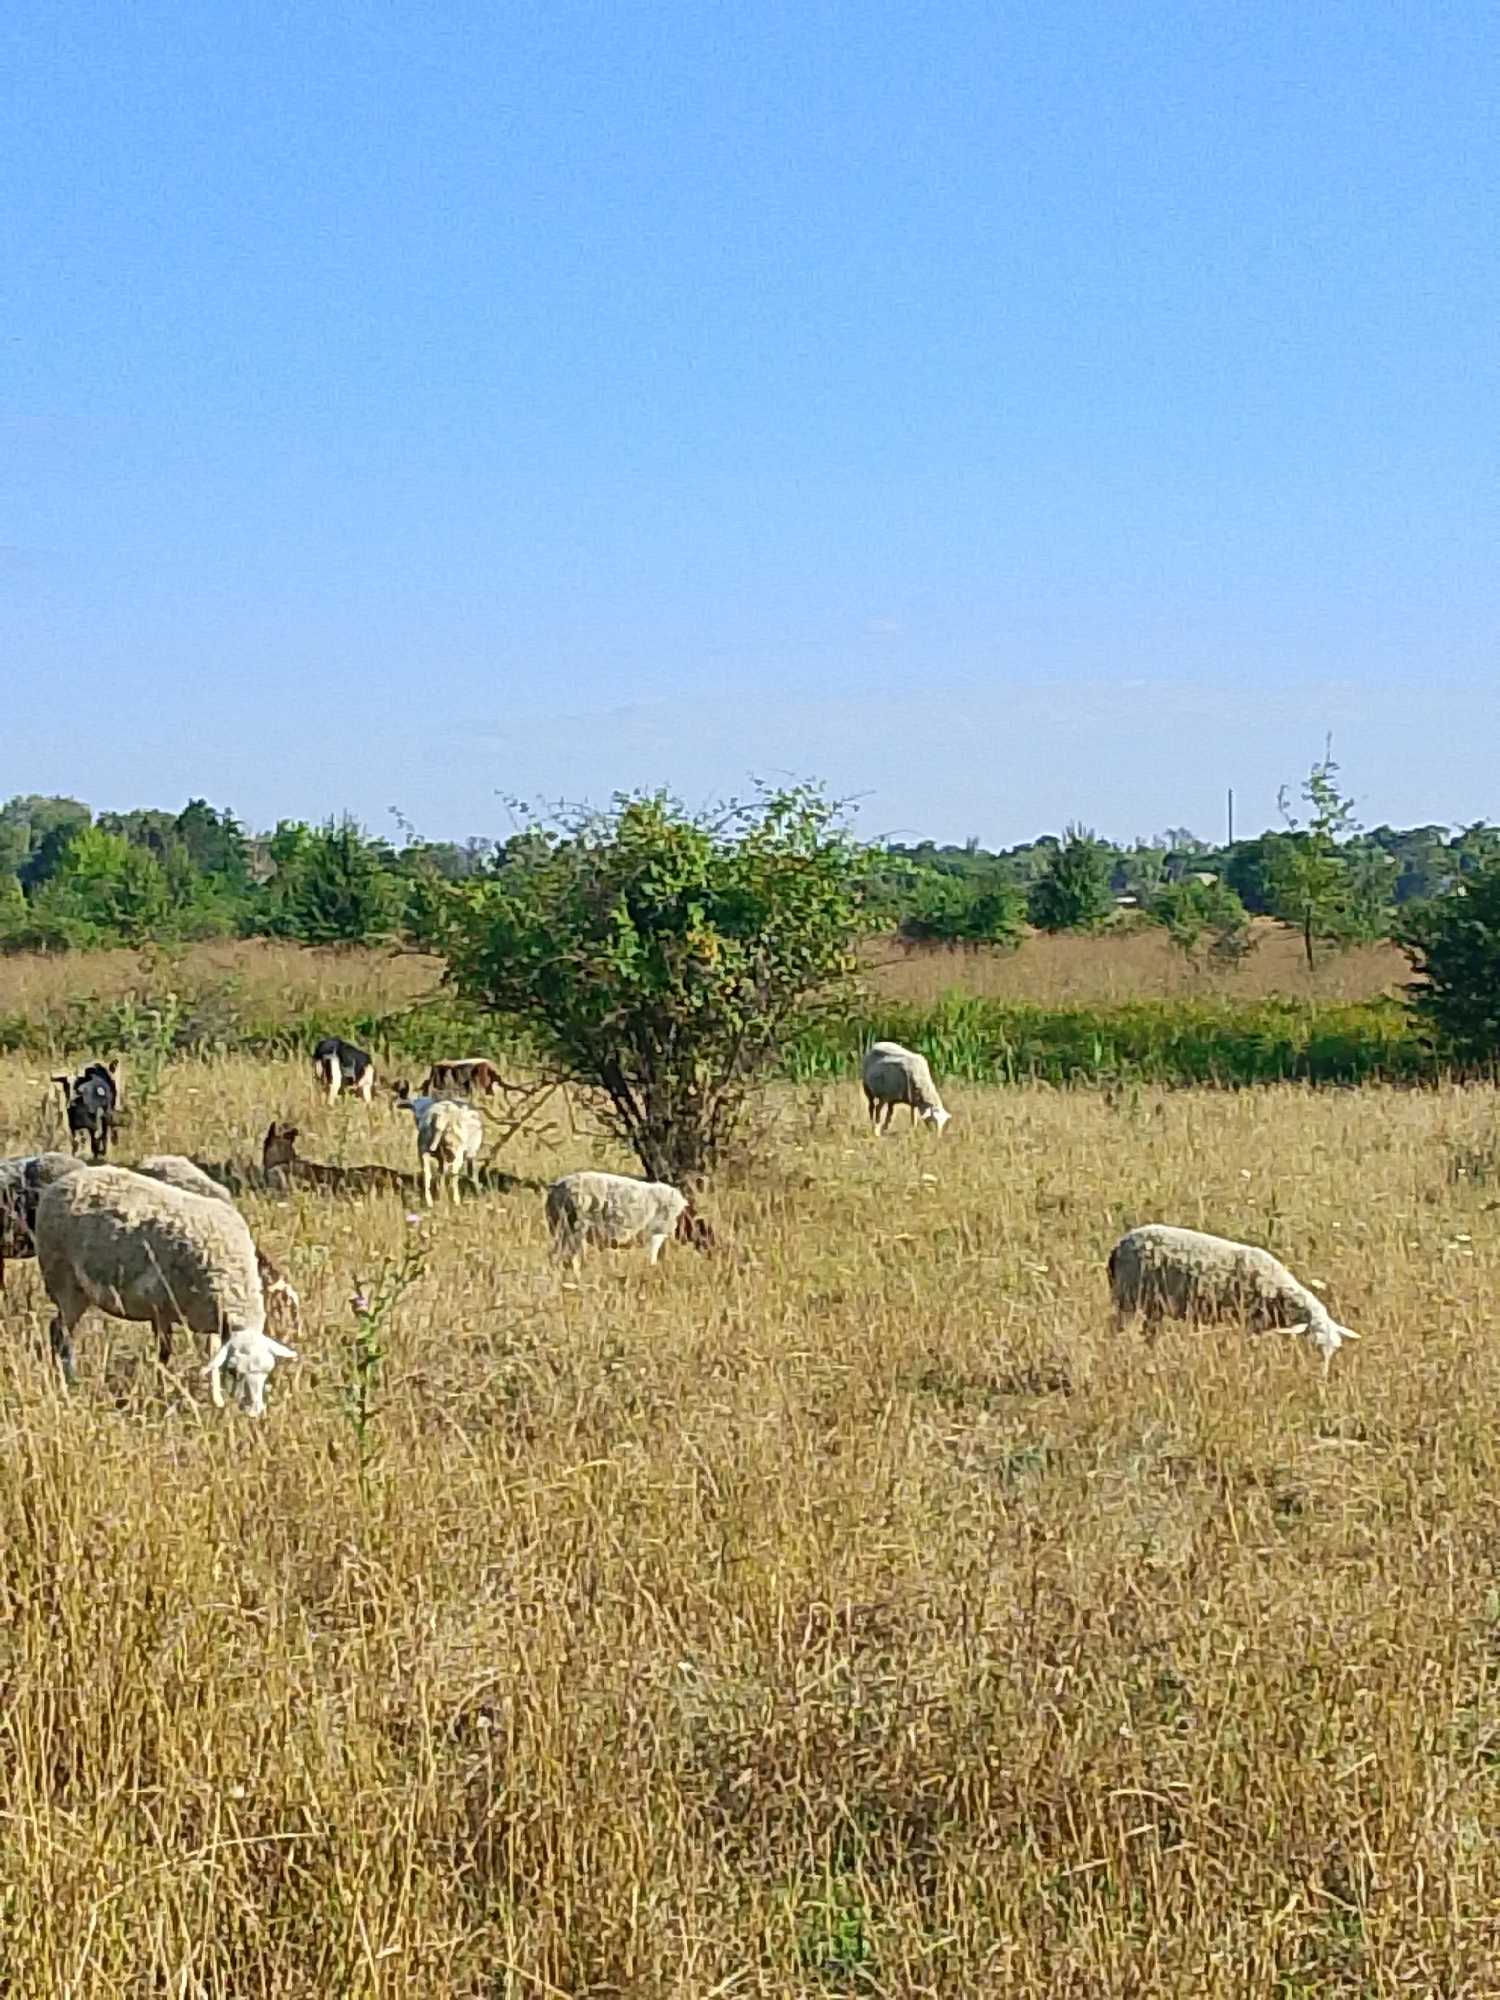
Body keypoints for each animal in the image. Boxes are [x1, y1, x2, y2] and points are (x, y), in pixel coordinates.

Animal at [33, 1166, 296, 1412]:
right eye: (233, 1371)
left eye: (268, 1371)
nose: (254, 1412)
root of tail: (64, 1181)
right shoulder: (161, 1310)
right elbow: (164, 1356)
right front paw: (162, 1395)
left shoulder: (208, 1316)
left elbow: (211, 1358)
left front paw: (216, 1401)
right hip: (64, 1281)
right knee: (58, 1332)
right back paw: (67, 1379)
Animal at [545, 1170, 704, 1267]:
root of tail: (556, 1188)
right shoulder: (657, 1234)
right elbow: (652, 1261)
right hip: (574, 1229)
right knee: (568, 1258)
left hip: (561, 1230)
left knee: (556, 1256)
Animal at [1107, 1224, 1359, 1362]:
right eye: (1313, 1346)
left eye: (1334, 1349)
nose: (1322, 1377)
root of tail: (1120, 1244)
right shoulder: (1250, 1321)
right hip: (1127, 1297)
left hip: (1153, 1305)